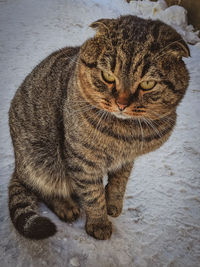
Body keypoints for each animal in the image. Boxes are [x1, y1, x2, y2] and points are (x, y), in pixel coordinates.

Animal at [8, 15, 189, 241]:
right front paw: (99, 222)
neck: (126, 135)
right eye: (108, 76)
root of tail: (17, 165)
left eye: (147, 84)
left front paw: (112, 203)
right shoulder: (83, 160)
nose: (121, 104)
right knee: (43, 186)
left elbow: (119, 183)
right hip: (41, 157)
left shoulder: (127, 160)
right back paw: (65, 205)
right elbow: (92, 194)